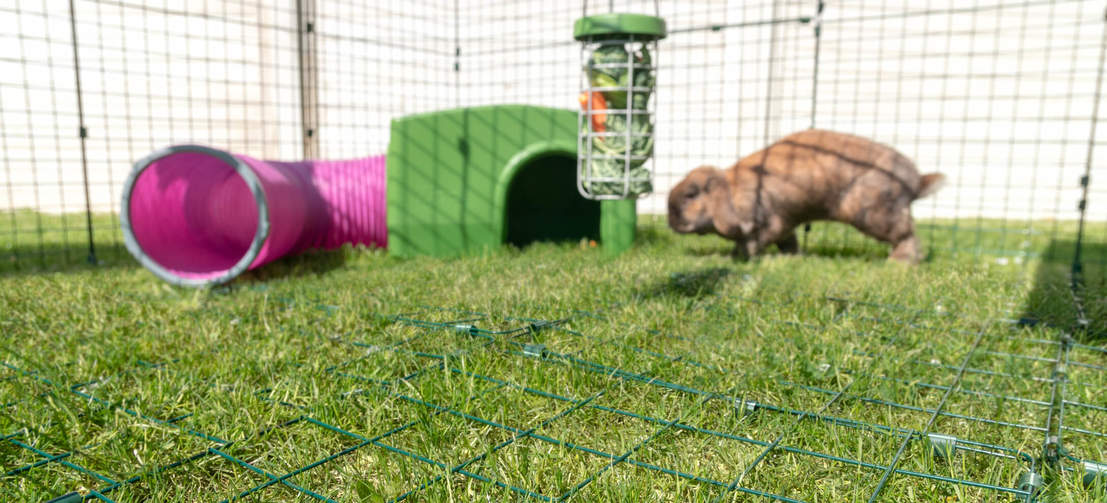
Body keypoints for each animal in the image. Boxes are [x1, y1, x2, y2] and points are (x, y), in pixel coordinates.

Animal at [664, 129, 943, 263]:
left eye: (691, 195)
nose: (671, 220)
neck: (732, 191)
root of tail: (915, 180)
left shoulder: (766, 223)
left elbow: (750, 243)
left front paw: (736, 258)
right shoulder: (785, 222)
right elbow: (788, 241)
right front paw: (790, 258)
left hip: (875, 213)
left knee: (906, 235)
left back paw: (899, 263)